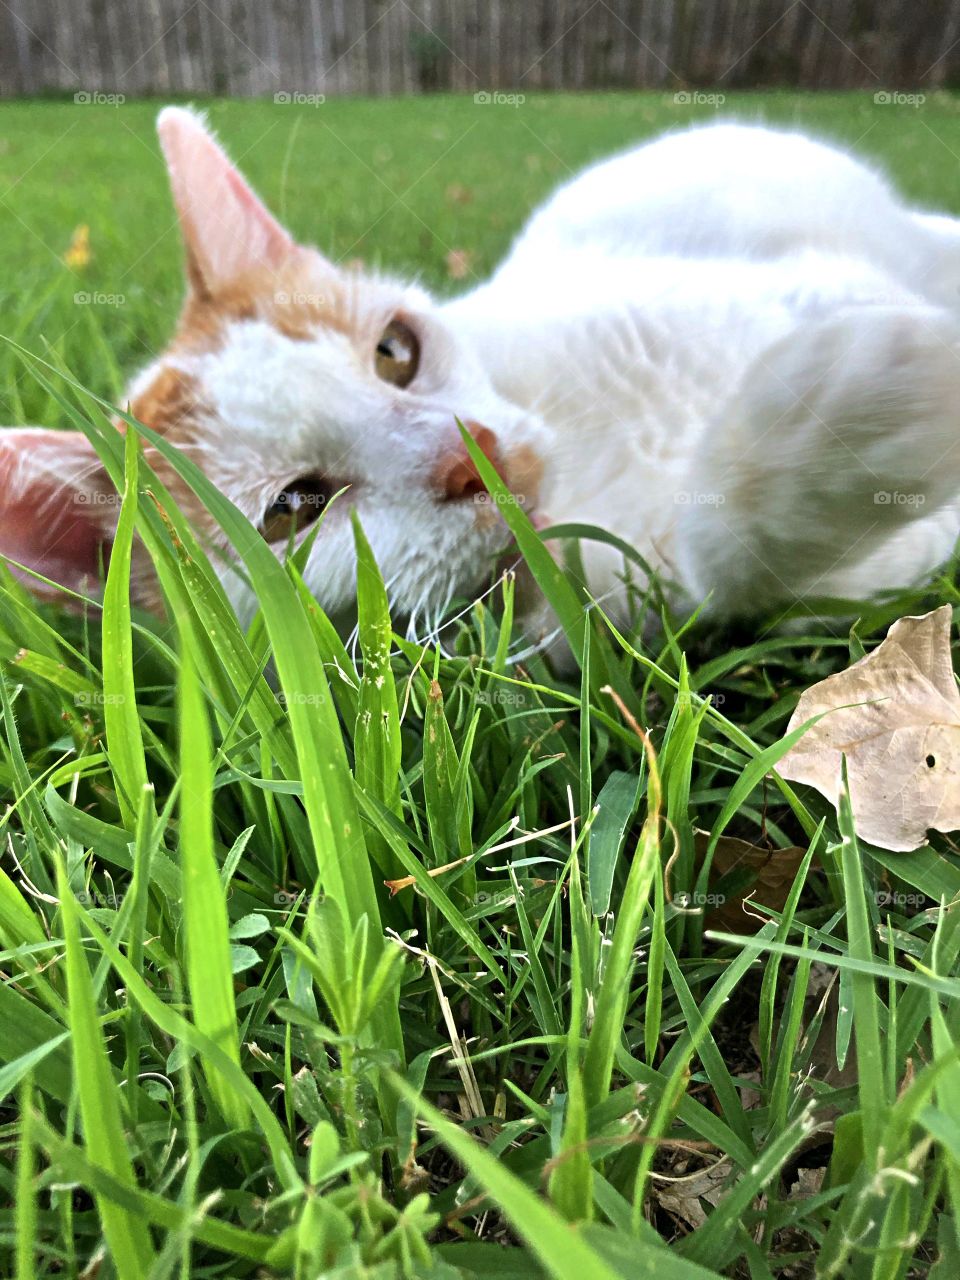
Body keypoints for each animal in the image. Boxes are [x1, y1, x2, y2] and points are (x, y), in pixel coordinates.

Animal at [1, 106, 960, 650]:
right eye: (292, 510)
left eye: (395, 351)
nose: (473, 456)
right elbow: (736, 549)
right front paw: (891, 403)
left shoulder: (801, 282)